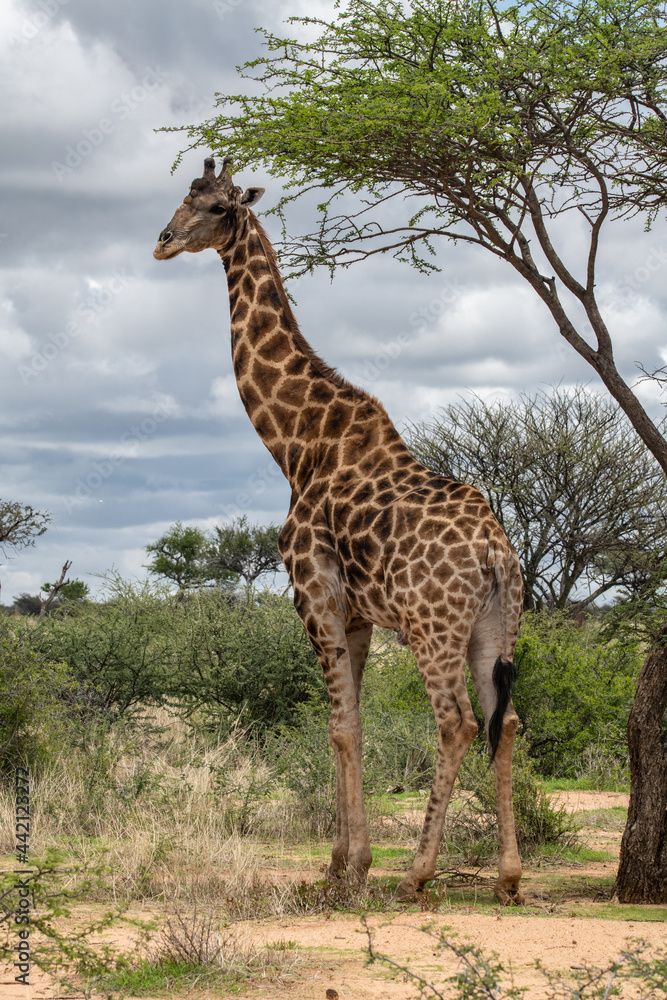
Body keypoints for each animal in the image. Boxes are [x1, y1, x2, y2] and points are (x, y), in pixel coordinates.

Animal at [154, 156, 525, 904]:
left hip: (431, 628)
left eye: (216, 206)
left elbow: (340, 728)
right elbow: (349, 721)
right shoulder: (356, 614)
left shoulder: (315, 596)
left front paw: (346, 870)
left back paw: (416, 874)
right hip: (494, 628)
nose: (163, 240)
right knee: (506, 721)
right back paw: (508, 876)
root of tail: (496, 553)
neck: (295, 445)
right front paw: (343, 864)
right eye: (182, 195)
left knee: (456, 722)